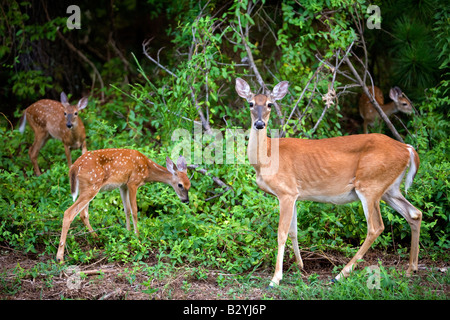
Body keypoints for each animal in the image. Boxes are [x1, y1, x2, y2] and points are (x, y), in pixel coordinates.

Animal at [56, 149, 190, 262]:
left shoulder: (123, 185)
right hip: (91, 185)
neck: (147, 169)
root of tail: (74, 167)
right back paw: (60, 258)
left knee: (83, 214)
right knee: (69, 213)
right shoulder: (133, 182)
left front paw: (128, 233)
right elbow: (134, 211)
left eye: (189, 185)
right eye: (180, 185)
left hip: (87, 188)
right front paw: (137, 237)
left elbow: (126, 210)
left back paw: (97, 238)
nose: (186, 201)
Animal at [236, 78, 422, 288]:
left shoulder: (286, 192)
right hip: (389, 189)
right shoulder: (295, 195)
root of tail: (407, 149)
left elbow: (281, 233)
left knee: (376, 227)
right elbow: (293, 231)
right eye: (251, 104)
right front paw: (300, 266)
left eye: (269, 104)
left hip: (370, 185)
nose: (259, 123)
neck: (267, 157)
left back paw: (341, 274)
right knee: (414, 213)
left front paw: (275, 279)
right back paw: (411, 269)